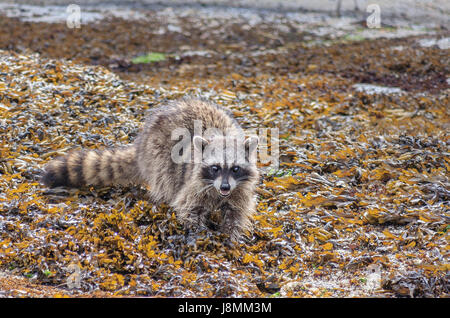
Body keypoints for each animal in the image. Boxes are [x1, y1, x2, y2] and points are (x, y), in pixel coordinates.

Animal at [43, 98, 260, 240]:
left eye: (235, 169)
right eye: (215, 168)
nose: (224, 187)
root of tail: (142, 145)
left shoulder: (239, 190)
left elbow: (236, 212)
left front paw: (230, 235)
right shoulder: (195, 184)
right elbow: (188, 207)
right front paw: (199, 232)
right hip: (159, 154)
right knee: (167, 180)